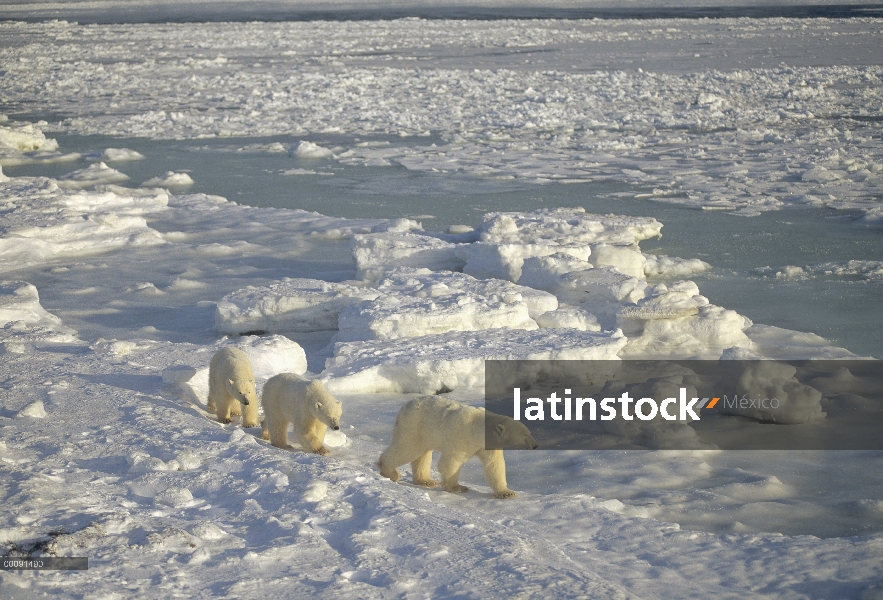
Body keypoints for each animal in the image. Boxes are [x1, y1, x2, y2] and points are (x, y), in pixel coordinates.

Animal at [378, 396, 540, 500]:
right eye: (525, 434)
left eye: (529, 432)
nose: (535, 445)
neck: (478, 428)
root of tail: (404, 406)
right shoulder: (461, 435)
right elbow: (451, 462)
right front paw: (457, 487)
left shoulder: (487, 445)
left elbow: (494, 465)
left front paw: (506, 493)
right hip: (413, 426)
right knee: (408, 449)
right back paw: (390, 472)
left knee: (422, 455)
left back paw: (426, 481)